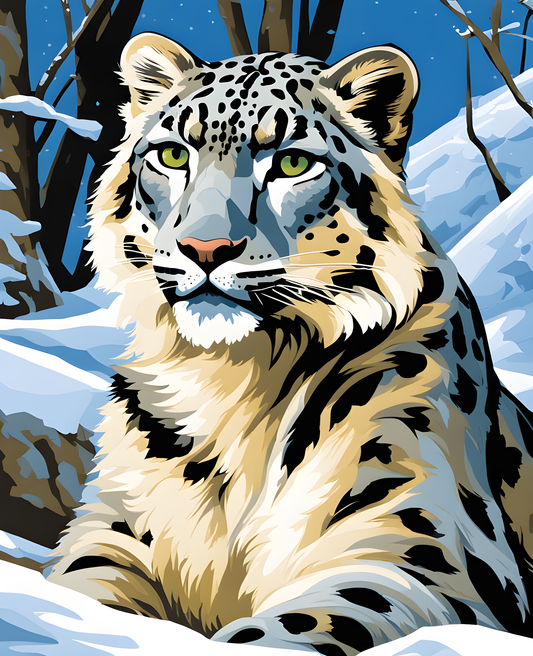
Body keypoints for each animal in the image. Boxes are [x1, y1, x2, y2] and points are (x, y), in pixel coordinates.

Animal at [47, 33, 533, 654]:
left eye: (292, 162)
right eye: (174, 155)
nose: (206, 248)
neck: (231, 380)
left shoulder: (419, 551)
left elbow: (305, 622)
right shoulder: (112, 534)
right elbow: (77, 593)